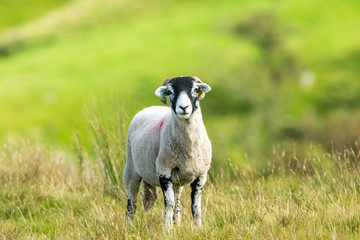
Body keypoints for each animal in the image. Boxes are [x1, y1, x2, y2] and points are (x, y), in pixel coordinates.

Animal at [122, 76, 212, 228]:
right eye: (169, 92)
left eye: (195, 89)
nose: (183, 108)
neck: (189, 147)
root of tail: (150, 108)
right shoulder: (164, 171)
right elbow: (168, 204)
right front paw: (167, 229)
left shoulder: (201, 174)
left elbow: (196, 206)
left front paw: (198, 228)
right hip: (132, 170)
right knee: (131, 202)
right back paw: (129, 226)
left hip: (178, 181)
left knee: (177, 202)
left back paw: (178, 223)